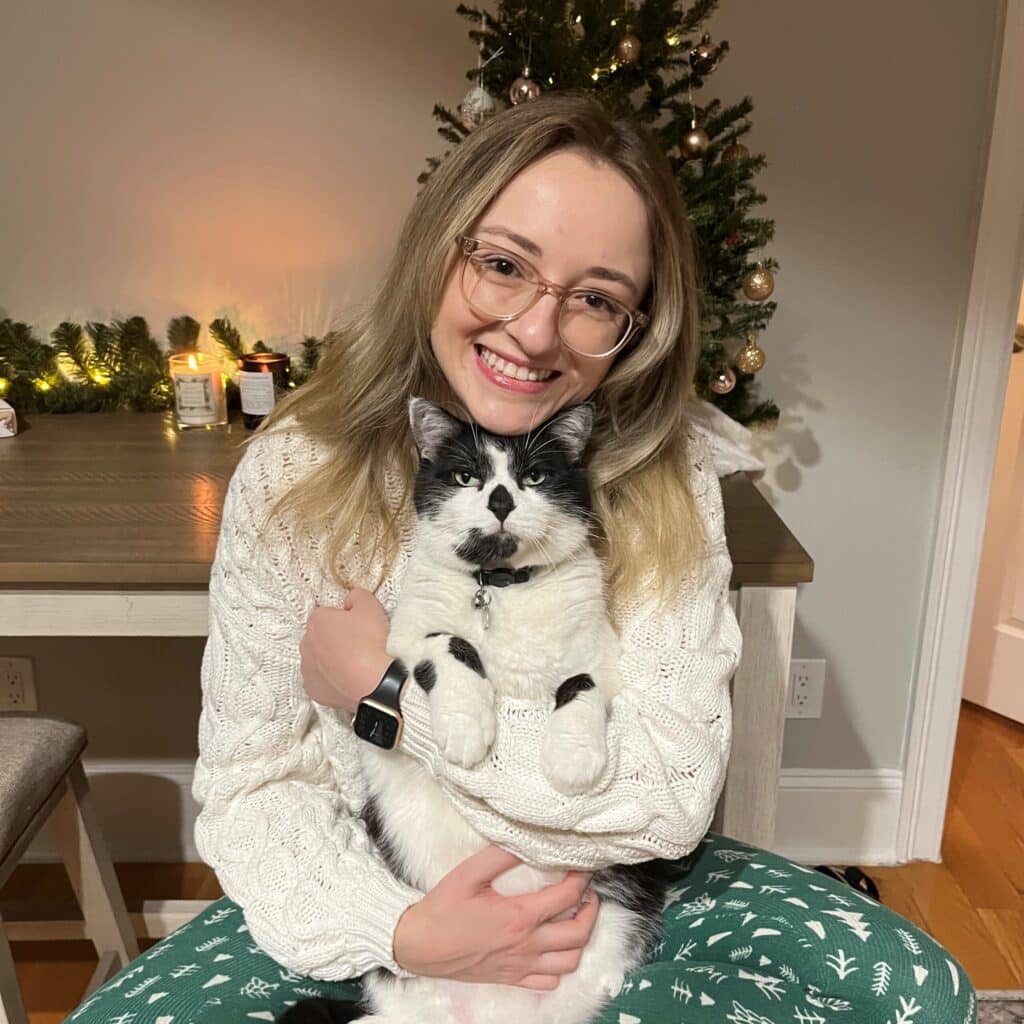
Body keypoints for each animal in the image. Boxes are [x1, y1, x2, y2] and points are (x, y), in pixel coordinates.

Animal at [280, 397, 667, 1024]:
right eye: (467, 476)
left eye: (534, 476)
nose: (502, 499)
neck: (500, 585)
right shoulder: (408, 637)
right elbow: (451, 644)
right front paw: (467, 730)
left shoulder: (605, 663)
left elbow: (579, 683)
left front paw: (574, 760)